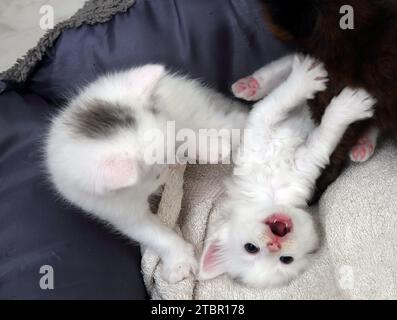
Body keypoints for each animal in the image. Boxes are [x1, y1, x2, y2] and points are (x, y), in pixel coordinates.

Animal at [44, 64, 246, 282]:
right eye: (156, 175)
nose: (173, 166)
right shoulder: (111, 207)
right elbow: (150, 233)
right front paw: (180, 261)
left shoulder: (171, 118)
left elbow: (181, 133)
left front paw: (210, 147)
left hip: (200, 111)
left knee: (232, 123)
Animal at [200, 56, 376, 288]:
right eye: (286, 260)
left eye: (250, 247)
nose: (275, 243)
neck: (272, 192)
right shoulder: (309, 160)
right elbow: (325, 135)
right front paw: (346, 108)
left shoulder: (259, 131)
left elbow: (277, 101)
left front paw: (304, 80)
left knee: (286, 61)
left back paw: (254, 84)